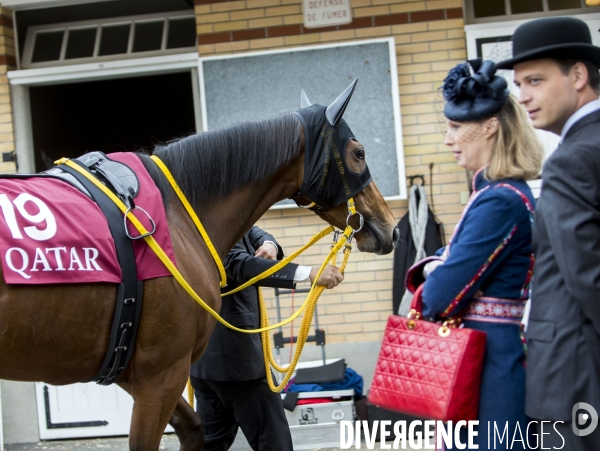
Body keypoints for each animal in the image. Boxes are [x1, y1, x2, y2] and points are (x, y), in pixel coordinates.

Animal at [0, 83, 400, 450]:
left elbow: (195, 429)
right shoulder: (161, 374)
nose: (391, 228)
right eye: (359, 153)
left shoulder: (132, 370)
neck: (175, 210)